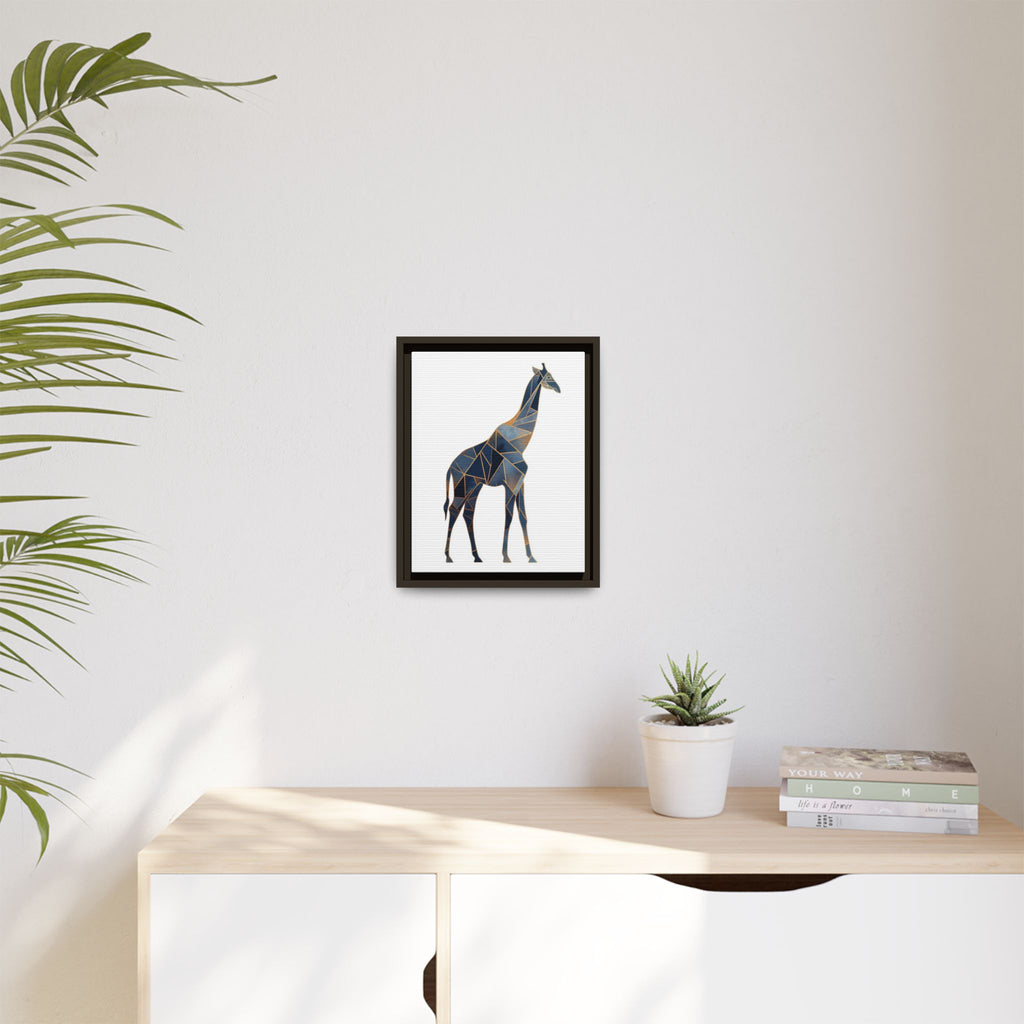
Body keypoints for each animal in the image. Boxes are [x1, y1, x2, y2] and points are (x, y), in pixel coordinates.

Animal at [443, 364, 561, 563]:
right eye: (548, 376)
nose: (558, 388)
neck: (520, 441)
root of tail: (450, 467)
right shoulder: (510, 484)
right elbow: (509, 516)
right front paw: (506, 556)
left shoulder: (520, 484)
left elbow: (523, 516)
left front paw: (531, 556)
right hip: (463, 486)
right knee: (453, 510)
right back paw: (448, 556)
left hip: (474, 487)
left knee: (468, 513)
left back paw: (477, 556)